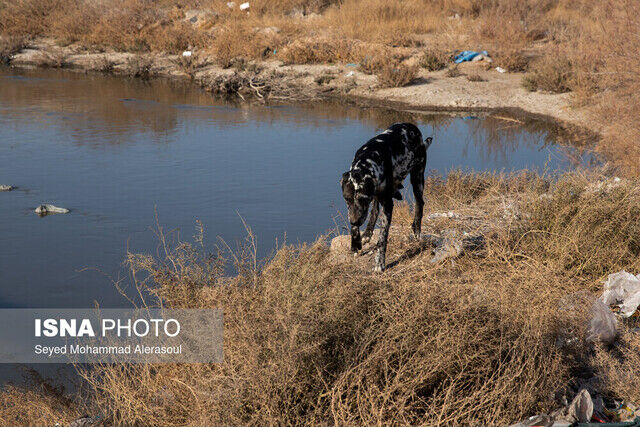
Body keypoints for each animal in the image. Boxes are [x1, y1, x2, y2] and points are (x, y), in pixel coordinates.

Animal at [340, 122, 430, 272]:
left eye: (363, 199)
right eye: (347, 199)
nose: (354, 221)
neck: (371, 158)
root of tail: (412, 127)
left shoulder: (387, 205)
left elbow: (382, 238)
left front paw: (379, 262)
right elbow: (360, 222)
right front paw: (355, 244)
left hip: (417, 179)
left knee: (420, 204)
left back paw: (417, 229)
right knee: (374, 210)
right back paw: (367, 233)